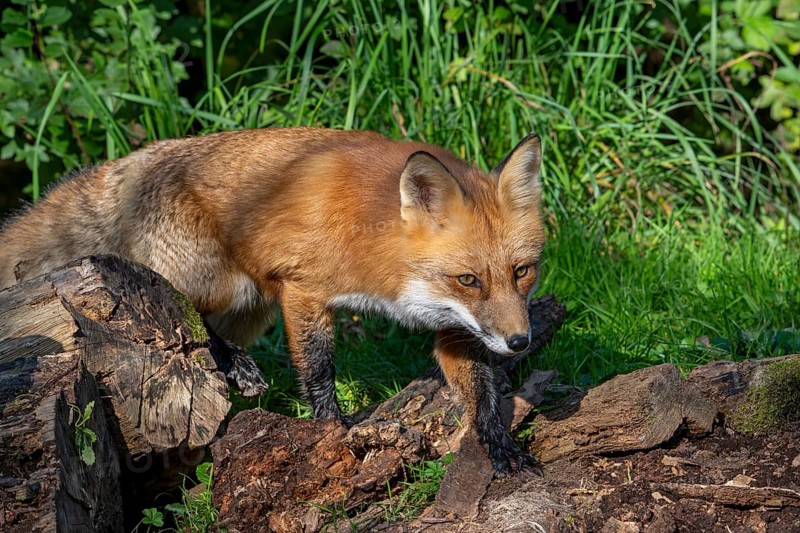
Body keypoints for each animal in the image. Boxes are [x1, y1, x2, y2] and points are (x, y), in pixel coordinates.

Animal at [0, 128, 545, 473]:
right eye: (468, 279)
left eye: (522, 271)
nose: (520, 342)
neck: (378, 239)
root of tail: (133, 162)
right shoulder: (303, 289)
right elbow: (319, 370)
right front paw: (331, 433)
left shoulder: (456, 326)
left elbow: (482, 394)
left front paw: (500, 446)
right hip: (226, 283)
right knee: (181, 311)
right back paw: (236, 364)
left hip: (254, 305)